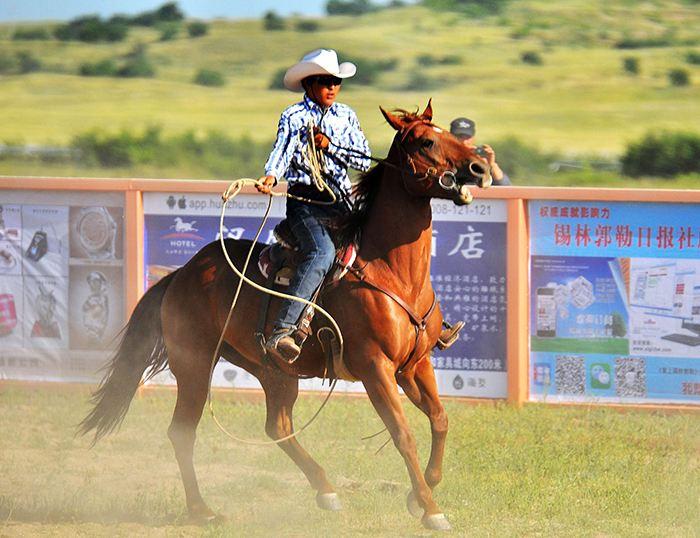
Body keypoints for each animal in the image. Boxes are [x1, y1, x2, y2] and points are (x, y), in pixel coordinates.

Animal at [78, 98, 492, 528]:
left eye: (449, 135)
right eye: (427, 141)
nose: (479, 168)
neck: (390, 271)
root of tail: (182, 274)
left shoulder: (415, 365)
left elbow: (440, 420)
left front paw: (418, 495)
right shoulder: (374, 368)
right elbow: (403, 434)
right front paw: (430, 509)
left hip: (272, 370)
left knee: (277, 426)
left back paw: (325, 490)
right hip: (194, 364)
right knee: (183, 431)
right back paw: (203, 510)